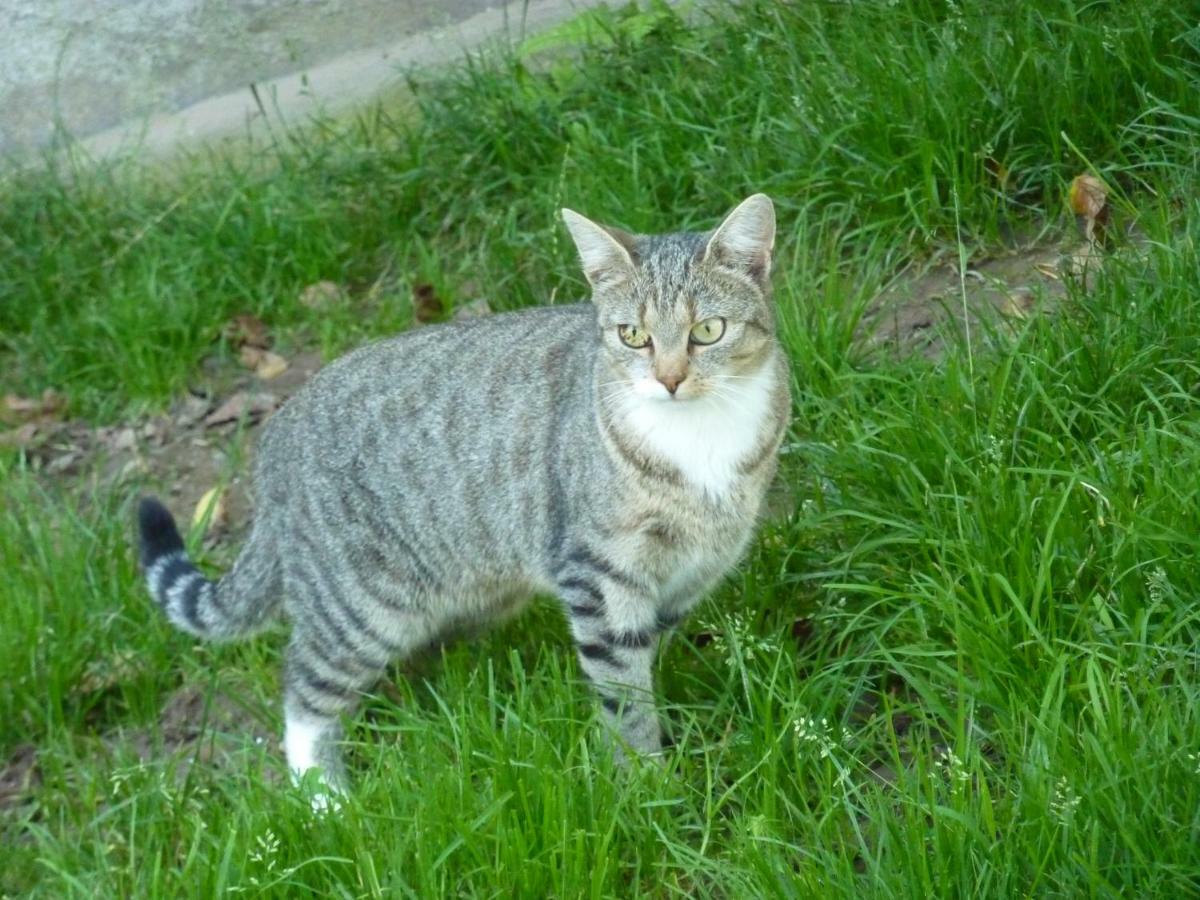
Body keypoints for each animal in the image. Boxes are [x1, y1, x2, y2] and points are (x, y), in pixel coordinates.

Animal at [136, 194, 792, 801]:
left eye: (707, 330)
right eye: (633, 336)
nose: (670, 379)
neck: (699, 440)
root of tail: (275, 439)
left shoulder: (696, 567)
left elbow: (645, 658)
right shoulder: (599, 574)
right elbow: (622, 690)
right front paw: (644, 784)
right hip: (361, 605)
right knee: (304, 687)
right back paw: (328, 802)